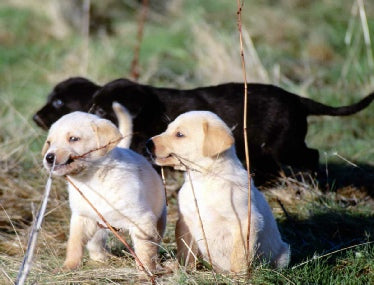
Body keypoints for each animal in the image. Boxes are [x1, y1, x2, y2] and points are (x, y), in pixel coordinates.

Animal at [41, 107, 166, 272]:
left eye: (73, 139)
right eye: (49, 142)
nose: (49, 158)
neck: (93, 179)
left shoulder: (142, 220)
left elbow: (145, 250)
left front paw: (146, 271)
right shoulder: (81, 218)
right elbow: (74, 244)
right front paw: (69, 266)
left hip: (160, 218)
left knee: (156, 241)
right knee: (95, 245)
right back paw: (100, 260)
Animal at [90, 78, 374, 182]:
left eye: (103, 112)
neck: (152, 109)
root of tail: (297, 99)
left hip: (284, 145)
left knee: (311, 154)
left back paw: (310, 181)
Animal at [146, 110, 290, 270]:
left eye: (179, 134)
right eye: (167, 129)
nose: (148, 143)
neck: (205, 179)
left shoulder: (246, 222)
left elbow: (239, 256)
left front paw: (239, 275)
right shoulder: (185, 221)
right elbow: (185, 250)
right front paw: (183, 269)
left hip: (283, 255)